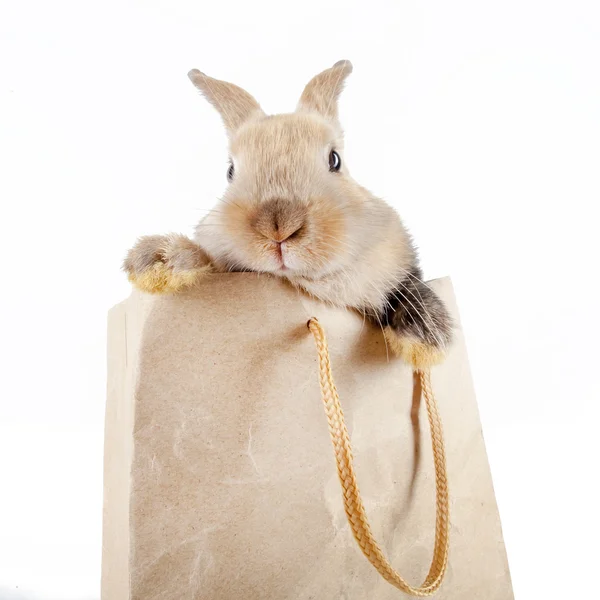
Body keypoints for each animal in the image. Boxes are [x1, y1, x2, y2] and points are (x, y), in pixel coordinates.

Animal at [123, 62, 450, 370]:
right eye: (230, 171)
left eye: (335, 160)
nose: (278, 226)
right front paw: (158, 262)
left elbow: (409, 289)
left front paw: (424, 344)